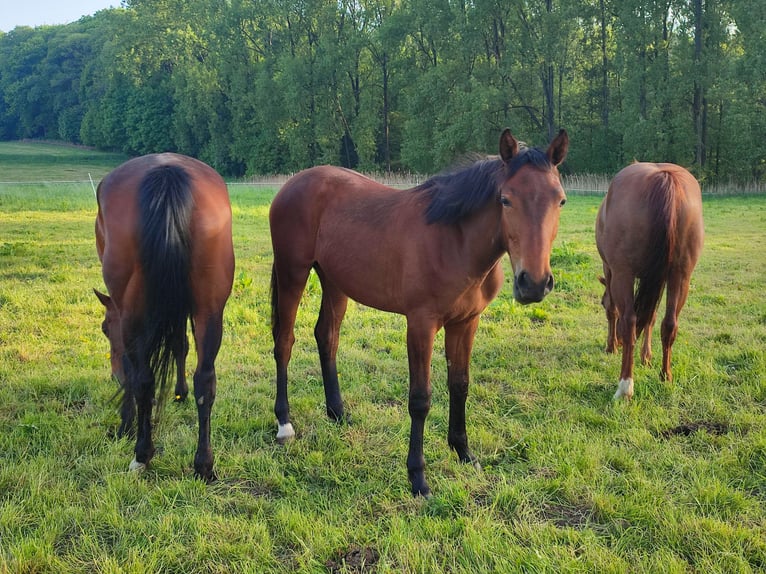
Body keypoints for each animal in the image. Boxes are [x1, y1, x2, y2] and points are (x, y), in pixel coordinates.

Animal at [94, 153, 235, 480]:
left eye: (105, 329)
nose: (112, 374)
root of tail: (167, 172)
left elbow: (135, 369)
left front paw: (125, 423)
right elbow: (180, 344)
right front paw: (180, 393)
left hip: (133, 312)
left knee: (143, 380)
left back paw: (142, 454)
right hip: (209, 309)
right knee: (205, 380)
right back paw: (204, 464)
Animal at [269, 128, 569, 496]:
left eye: (560, 200)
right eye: (505, 199)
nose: (534, 283)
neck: (455, 242)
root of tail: (292, 184)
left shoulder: (465, 323)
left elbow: (460, 384)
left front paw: (464, 452)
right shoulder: (421, 325)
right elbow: (420, 399)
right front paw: (418, 477)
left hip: (335, 282)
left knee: (327, 337)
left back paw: (338, 413)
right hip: (292, 273)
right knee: (284, 341)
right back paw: (284, 423)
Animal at [596, 162, 703, 400]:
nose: (614, 345)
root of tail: (664, 178)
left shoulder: (611, 271)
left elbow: (613, 310)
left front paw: (611, 346)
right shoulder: (657, 280)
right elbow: (651, 316)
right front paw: (646, 356)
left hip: (623, 274)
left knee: (629, 321)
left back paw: (625, 386)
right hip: (681, 276)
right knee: (670, 323)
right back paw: (665, 376)